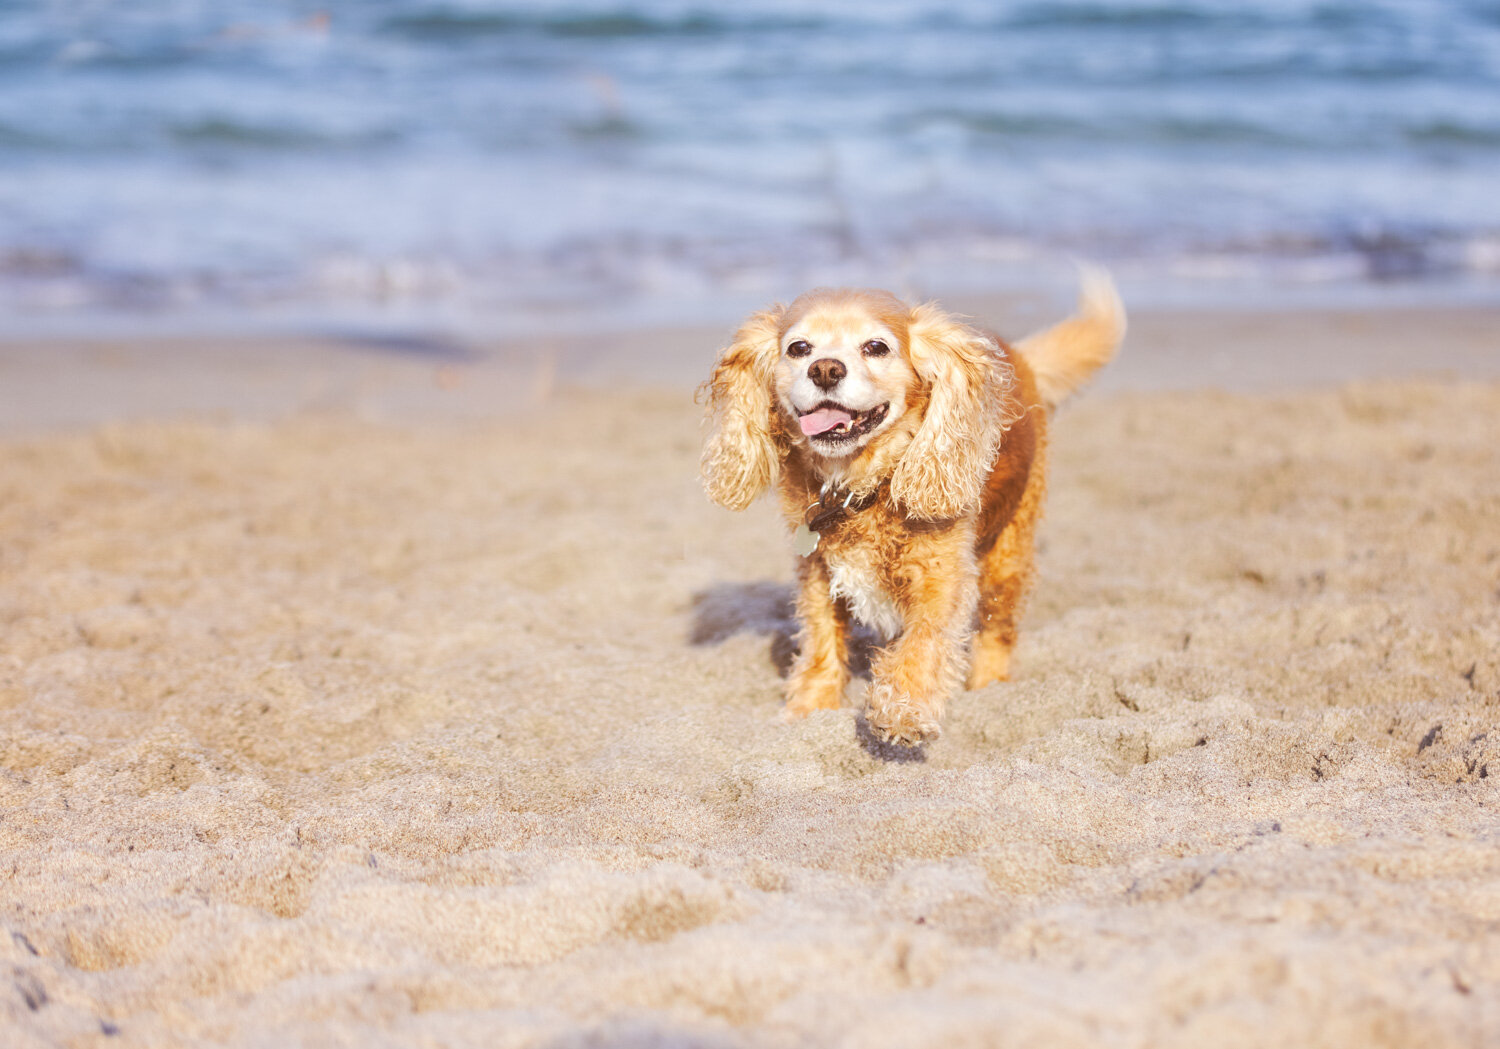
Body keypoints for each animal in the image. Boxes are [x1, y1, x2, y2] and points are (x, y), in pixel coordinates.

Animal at [696, 270, 1122, 747]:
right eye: (799, 348)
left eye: (876, 347)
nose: (824, 369)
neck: (858, 486)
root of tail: (1019, 356)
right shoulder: (818, 573)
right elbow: (822, 640)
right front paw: (809, 708)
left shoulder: (943, 574)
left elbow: (926, 638)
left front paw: (903, 707)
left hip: (1009, 551)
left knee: (998, 630)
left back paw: (991, 688)